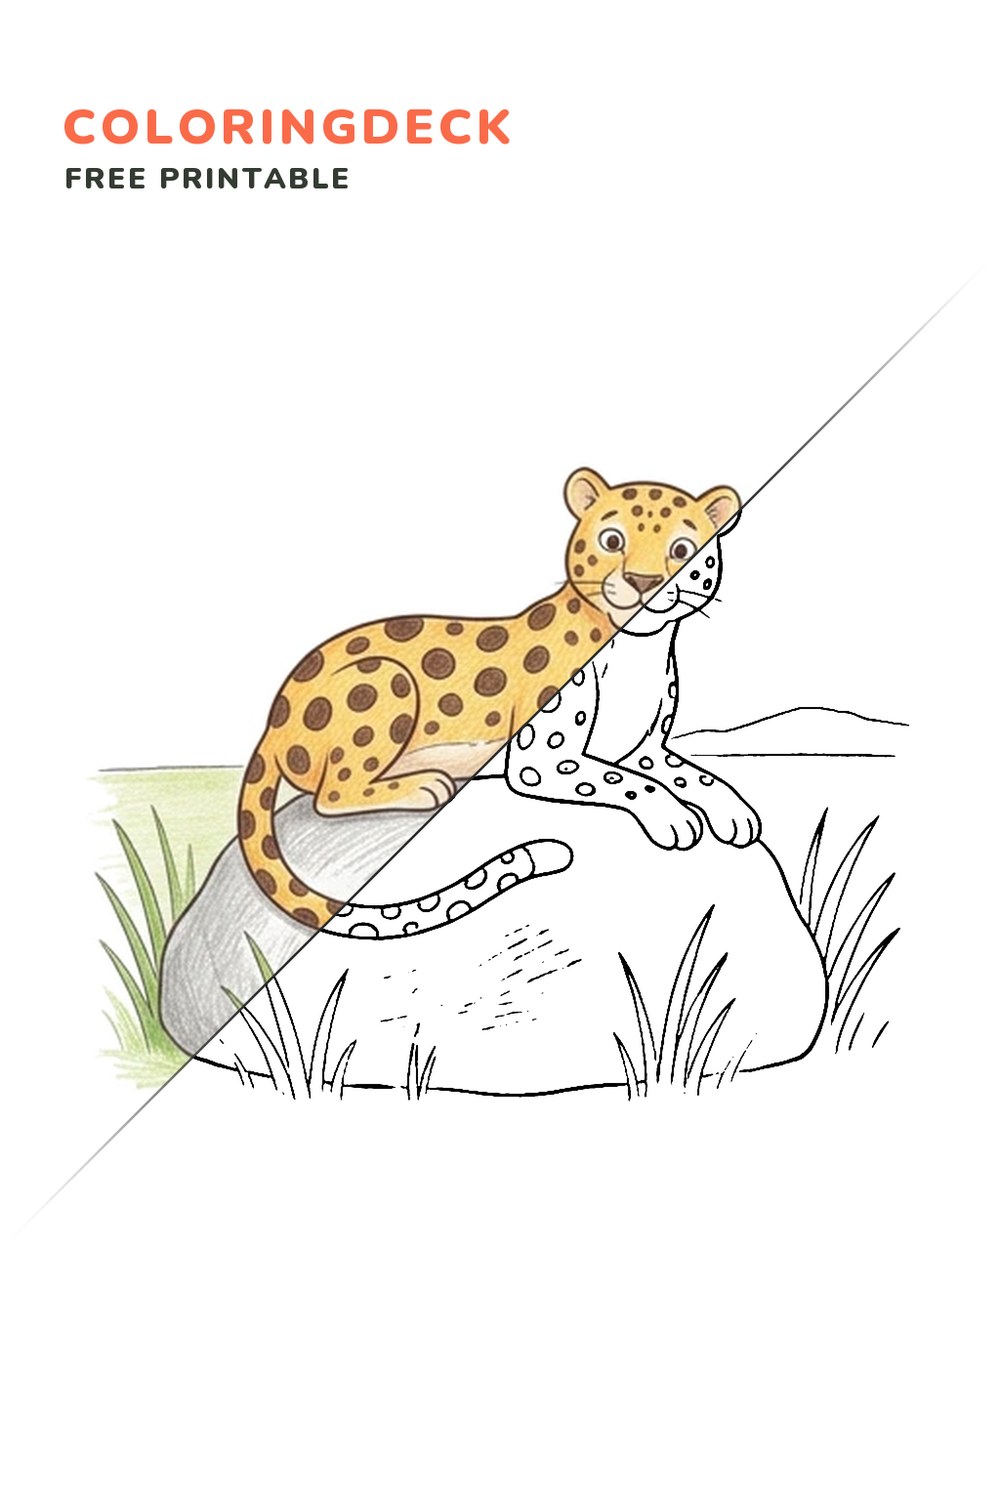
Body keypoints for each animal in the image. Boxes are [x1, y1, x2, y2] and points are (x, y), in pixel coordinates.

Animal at [238, 467, 761, 931]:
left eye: (683, 550)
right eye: (613, 541)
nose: (644, 581)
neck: (639, 648)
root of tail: (274, 719)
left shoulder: (644, 748)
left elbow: (688, 772)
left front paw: (734, 811)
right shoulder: (541, 761)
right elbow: (624, 781)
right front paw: (674, 816)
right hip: (385, 678)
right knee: (330, 795)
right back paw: (424, 785)